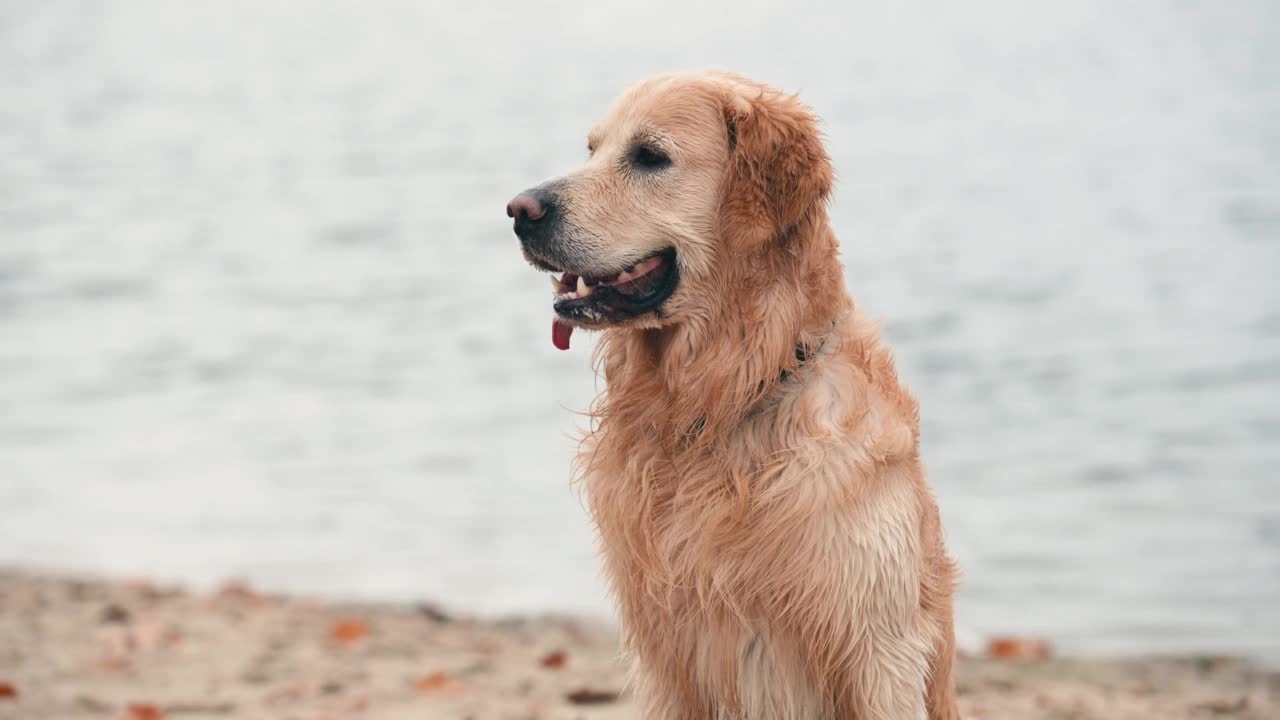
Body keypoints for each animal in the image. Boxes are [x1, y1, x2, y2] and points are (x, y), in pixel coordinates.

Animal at [504, 70, 957, 712]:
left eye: (650, 156)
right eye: (592, 149)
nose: (520, 211)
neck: (719, 402)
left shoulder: (880, 650)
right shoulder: (665, 656)